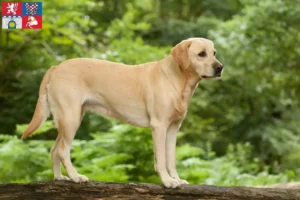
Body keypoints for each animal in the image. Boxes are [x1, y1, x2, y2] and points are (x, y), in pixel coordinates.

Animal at [21, 37, 223, 188]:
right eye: (201, 54)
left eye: (214, 53)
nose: (220, 68)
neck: (178, 80)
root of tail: (56, 67)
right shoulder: (159, 126)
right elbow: (161, 160)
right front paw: (167, 181)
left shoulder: (173, 128)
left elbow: (171, 158)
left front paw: (177, 179)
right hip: (70, 118)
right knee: (63, 151)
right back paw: (76, 177)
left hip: (68, 119)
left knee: (54, 149)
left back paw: (60, 178)